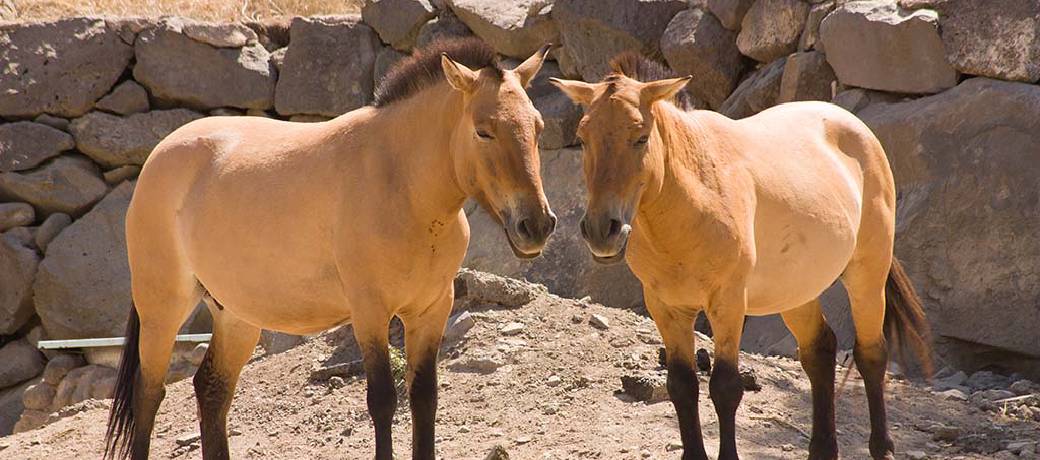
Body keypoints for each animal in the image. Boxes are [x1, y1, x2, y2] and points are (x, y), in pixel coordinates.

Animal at [104, 38, 557, 460]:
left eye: (538, 127)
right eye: (483, 130)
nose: (536, 225)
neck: (399, 182)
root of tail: (159, 156)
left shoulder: (431, 310)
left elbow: (424, 399)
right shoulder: (370, 313)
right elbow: (383, 401)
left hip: (236, 316)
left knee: (210, 390)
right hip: (163, 308)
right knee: (149, 394)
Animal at [551, 54, 932, 460]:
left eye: (640, 137)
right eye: (583, 139)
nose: (600, 230)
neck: (691, 202)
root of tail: (855, 127)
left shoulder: (728, 303)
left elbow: (725, 387)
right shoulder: (667, 307)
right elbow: (681, 385)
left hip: (867, 272)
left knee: (872, 354)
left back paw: (882, 448)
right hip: (796, 290)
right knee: (819, 351)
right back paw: (822, 449)